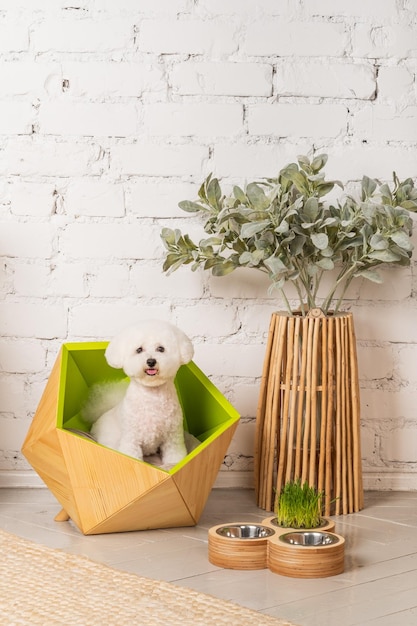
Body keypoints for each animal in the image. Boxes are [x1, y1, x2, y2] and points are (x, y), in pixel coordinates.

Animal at [81, 320, 195, 466]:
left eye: (161, 349)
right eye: (139, 350)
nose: (151, 361)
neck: (152, 396)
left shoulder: (172, 438)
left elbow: (174, 457)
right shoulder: (131, 441)